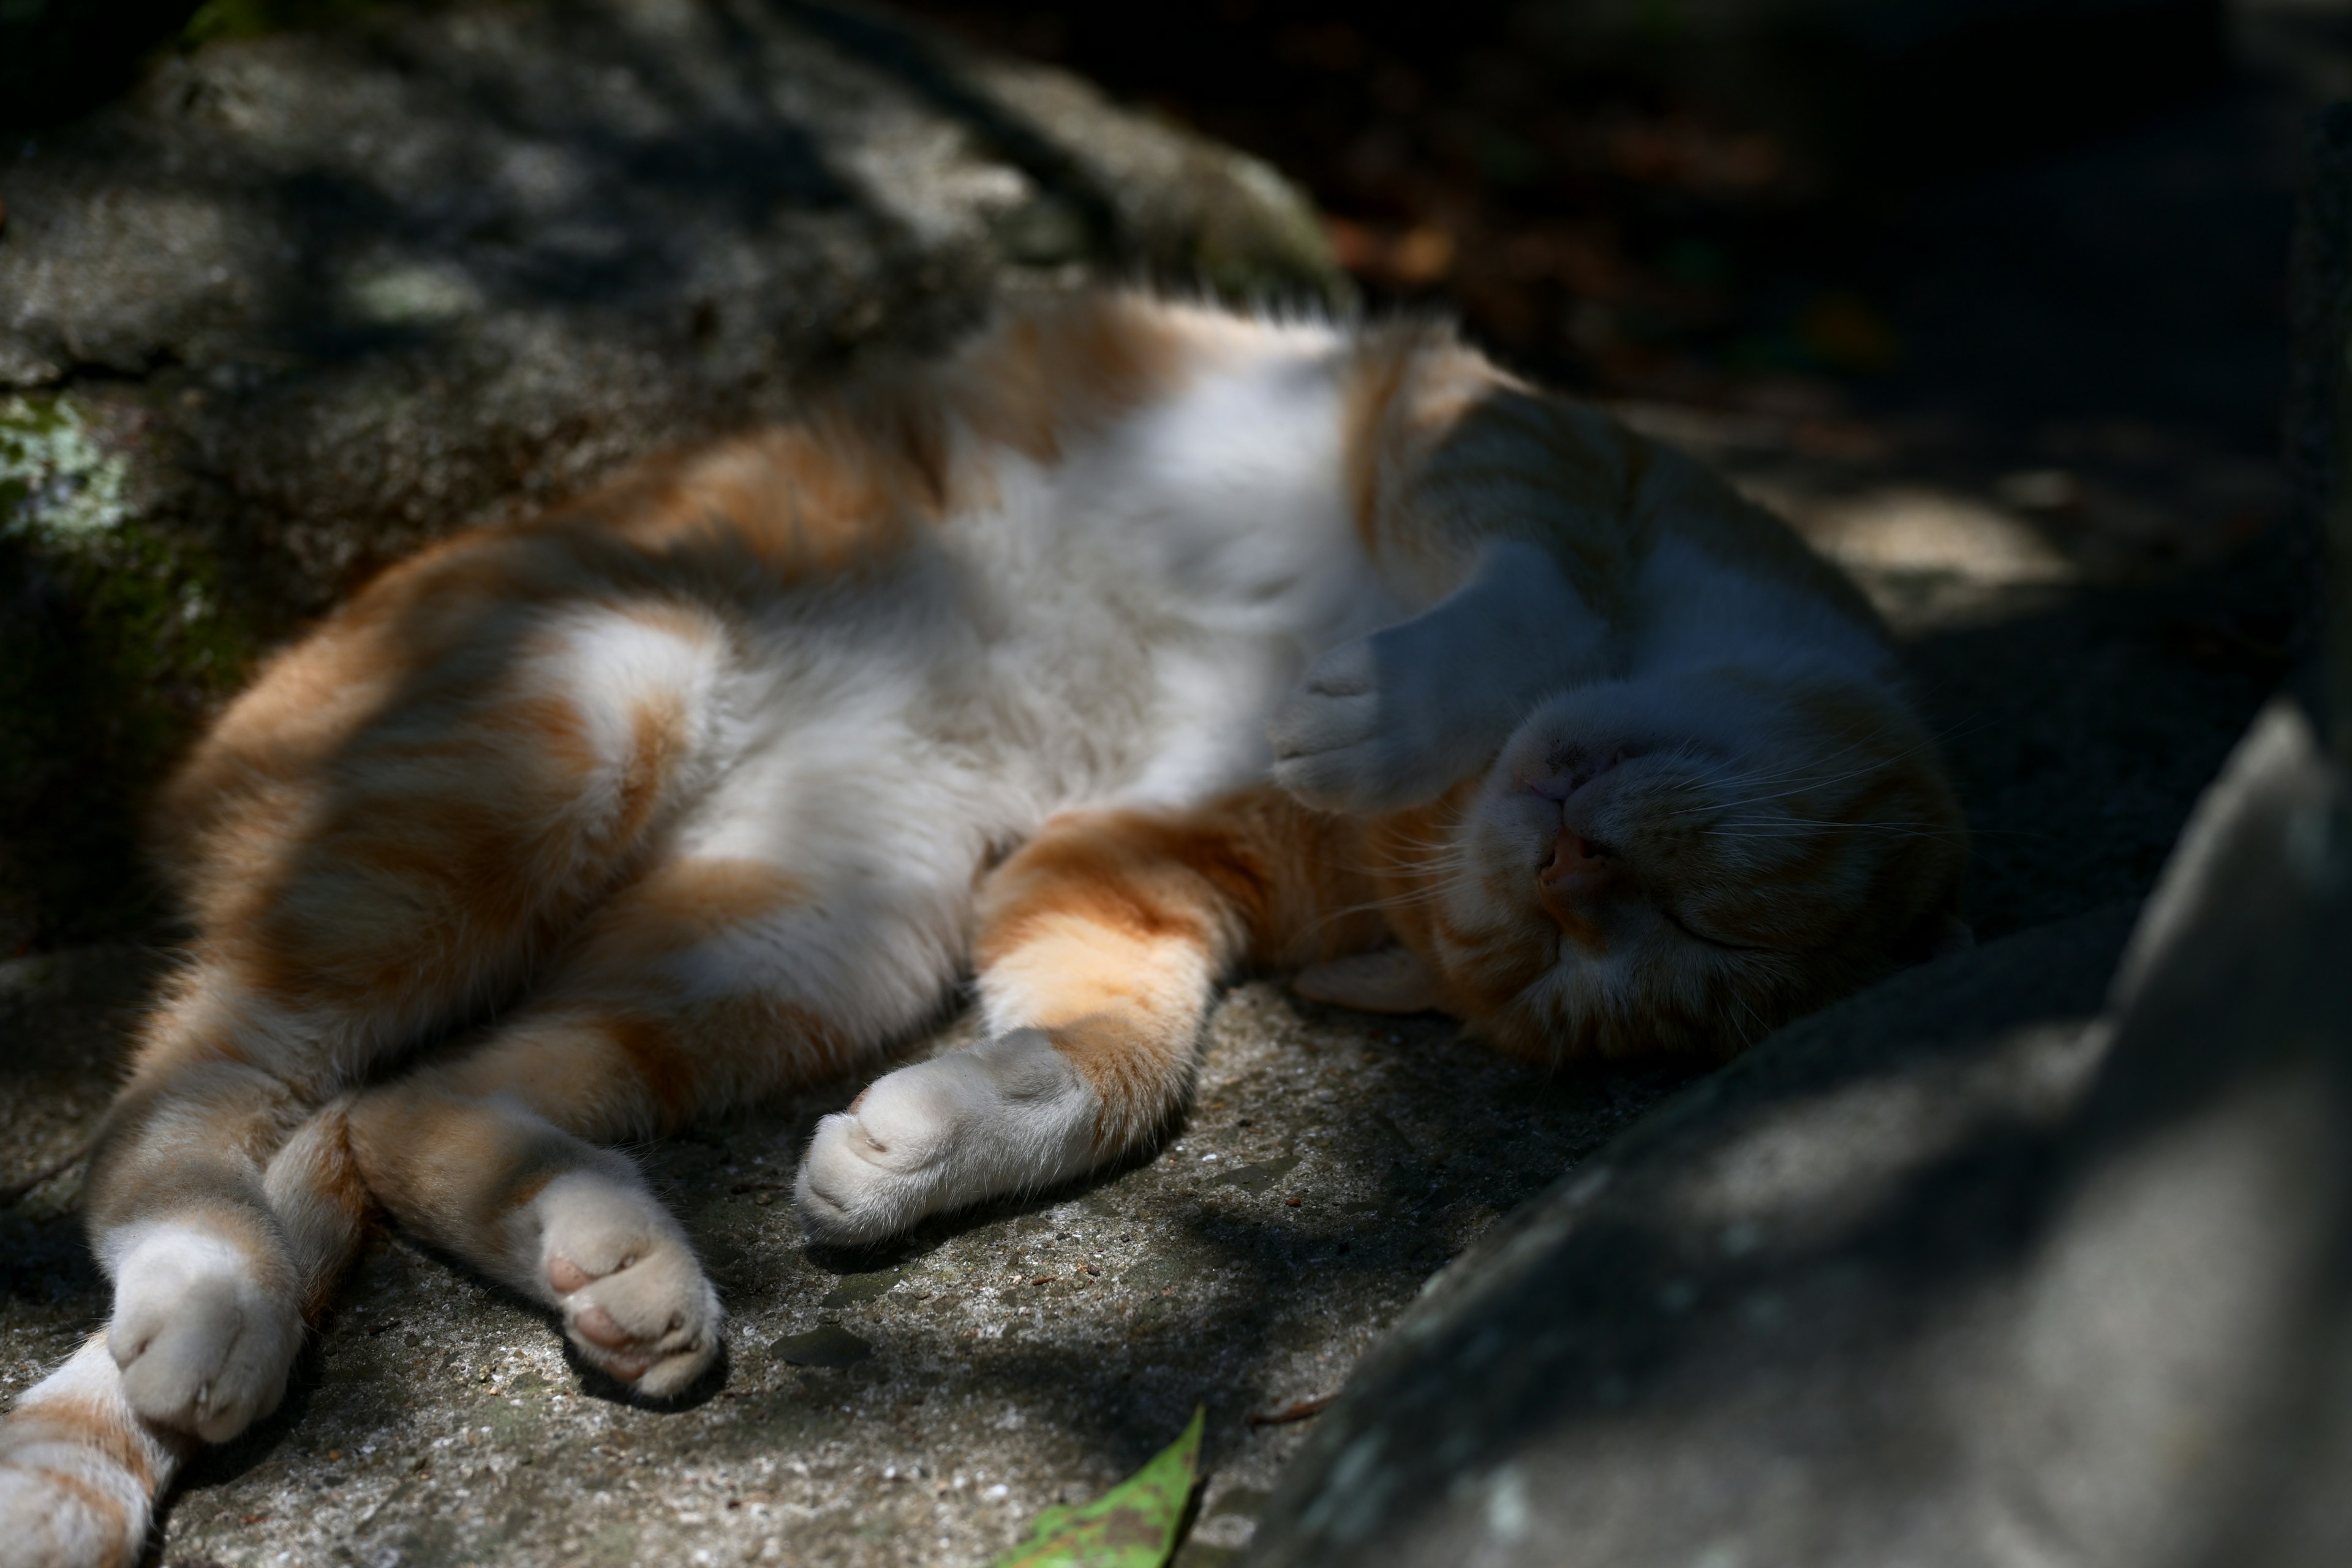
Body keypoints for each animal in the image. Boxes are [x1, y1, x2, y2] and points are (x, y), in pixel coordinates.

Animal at [0, 293, 1966, 1568]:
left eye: (1642, 939)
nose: (1561, 869)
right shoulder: (1494, 432)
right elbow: (1521, 591)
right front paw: (1404, 698)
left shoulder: (1118, 866)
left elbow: (1126, 1059)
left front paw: (938, 1139)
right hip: (565, 716)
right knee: (195, 1091)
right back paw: (207, 1284)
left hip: (832, 916)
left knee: (390, 1109)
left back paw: (595, 1259)